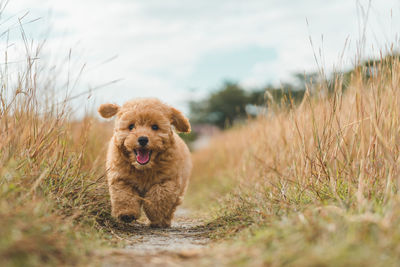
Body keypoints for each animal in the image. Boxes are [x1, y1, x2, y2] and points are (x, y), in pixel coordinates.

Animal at [98, 99, 192, 229]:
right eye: (131, 126)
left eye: (155, 127)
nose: (143, 139)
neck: (144, 168)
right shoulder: (120, 177)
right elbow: (123, 194)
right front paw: (126, 213)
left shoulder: (168, 180)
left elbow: (159, 195)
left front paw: (154, 212)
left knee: (171, 207)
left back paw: (162, 222)